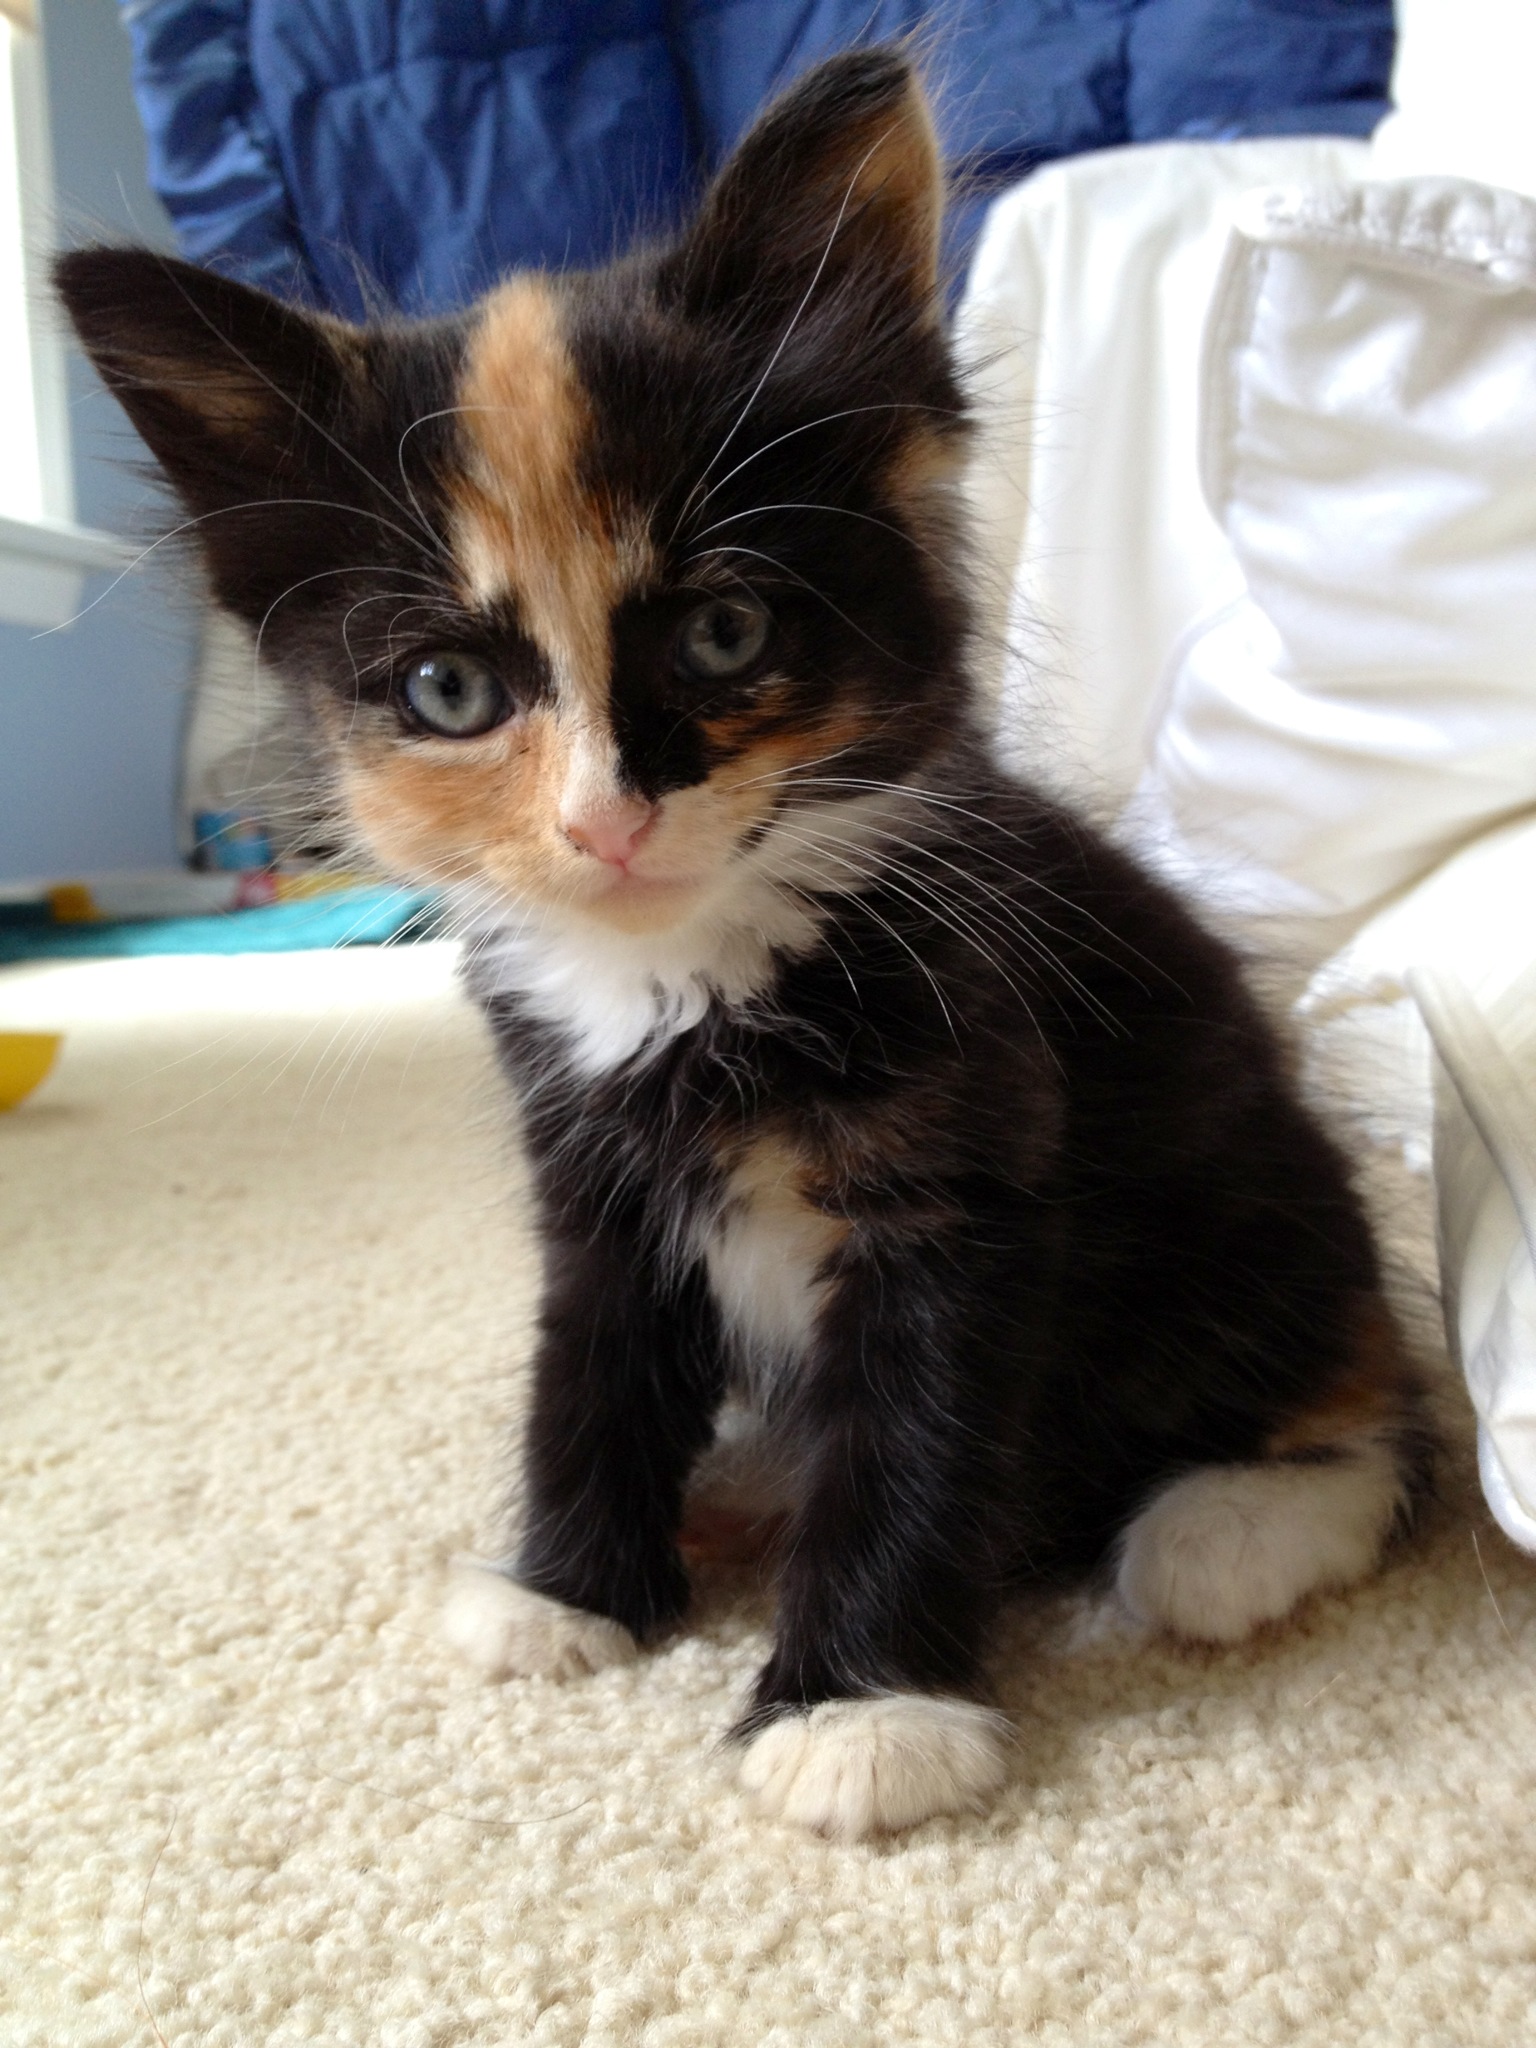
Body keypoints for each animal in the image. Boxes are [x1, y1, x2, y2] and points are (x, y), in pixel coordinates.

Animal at [57, 48, 1433, 1843]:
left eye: (723, 633)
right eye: (448, 690)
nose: (604, 820)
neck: (687, 978)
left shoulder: (964, 1175)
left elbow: (912, 1441)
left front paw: (864, 1711)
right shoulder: (587, 1168)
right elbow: (587, 1370)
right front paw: (567, 1588)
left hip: (1257, 1214)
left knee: (1374, 1423)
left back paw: (1225, 1530)